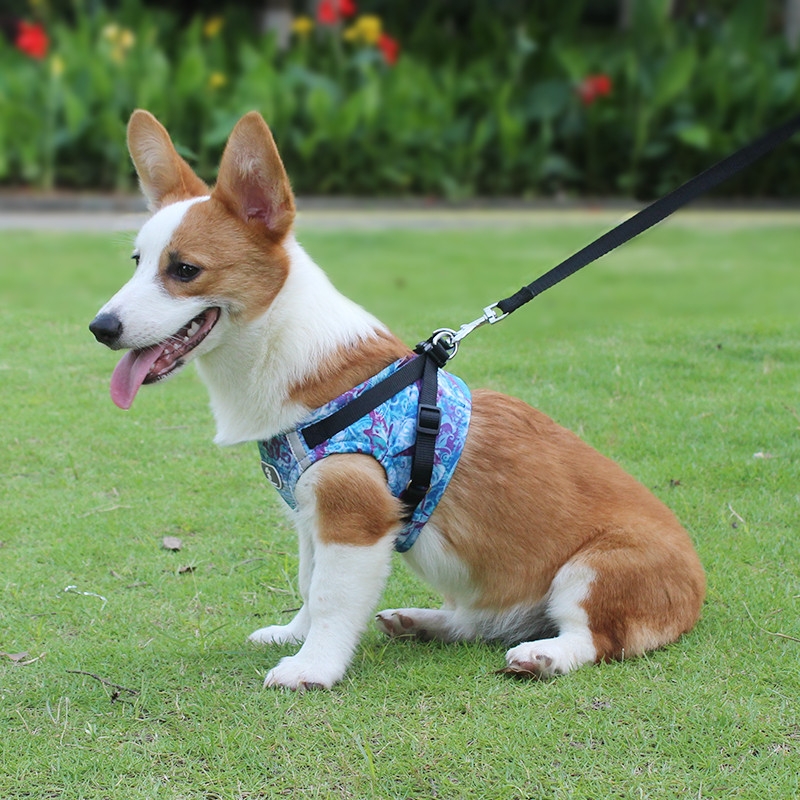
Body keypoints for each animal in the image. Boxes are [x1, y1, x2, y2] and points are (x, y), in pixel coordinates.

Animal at [90, 109, 708, 692]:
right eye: (137, 262)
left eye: (184, 269)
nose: (100, 328)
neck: (283, 349)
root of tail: (699, 584)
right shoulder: (312, 518)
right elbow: (309, 585)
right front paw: (292, 634)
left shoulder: (353, 516)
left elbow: (331, 597)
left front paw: (311, 666)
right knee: (479, 623)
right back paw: (422, 622)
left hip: (594, 570)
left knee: (593, 637)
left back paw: (543, 655)